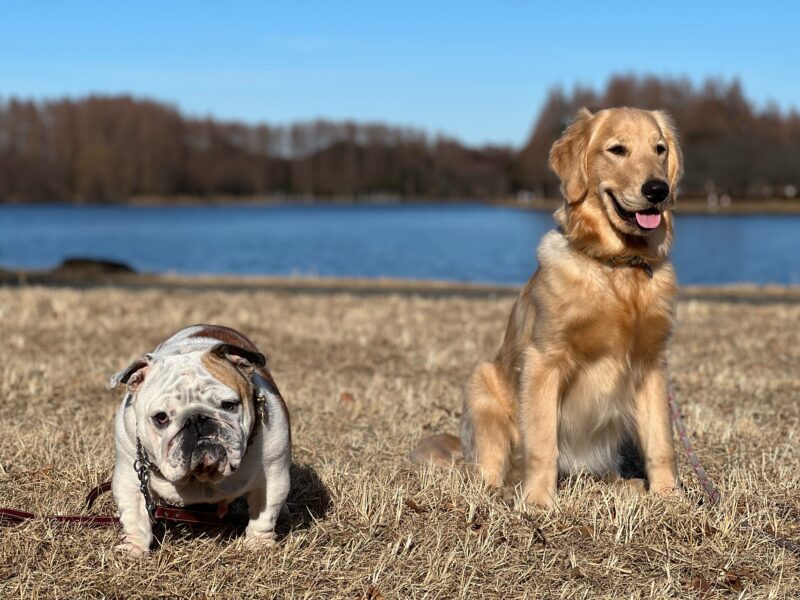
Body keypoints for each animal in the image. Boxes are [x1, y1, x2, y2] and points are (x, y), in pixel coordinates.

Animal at [416, 108, 684, 506]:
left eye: (660, 149)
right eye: (617, 149)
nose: (658, 190)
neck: (617, 265)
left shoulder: (651, 364)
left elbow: (660, 440)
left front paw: (667, 494)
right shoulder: (544, 359)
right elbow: (542, 442)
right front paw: (539, 501)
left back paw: (624, 484)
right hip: (481, 383)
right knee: (488, 468)